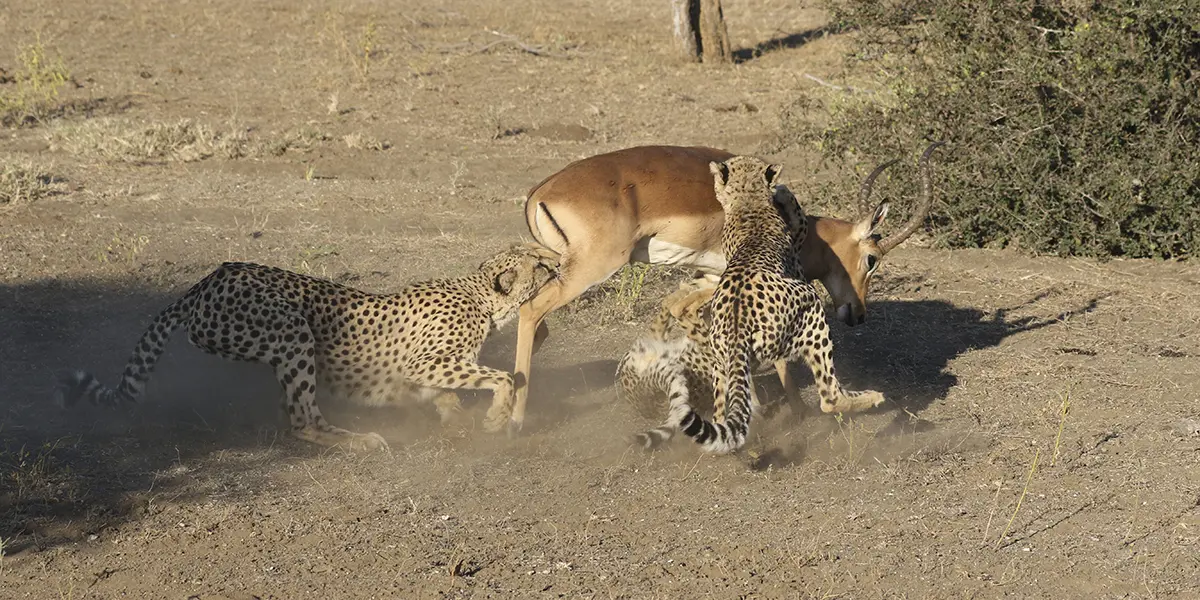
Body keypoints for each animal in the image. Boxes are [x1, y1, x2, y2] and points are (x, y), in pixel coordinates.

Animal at [54, 242, 559, 451]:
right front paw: (494, 417)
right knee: (301, 418)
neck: (481, 296)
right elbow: (504, 376)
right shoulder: (424, 362)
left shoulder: (427, 372)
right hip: (291, 329)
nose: (557, 264)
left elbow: (449, 393)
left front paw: (455, 415)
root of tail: (207, 279)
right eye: (538, 265)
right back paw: (358, 439)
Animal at [633, 157, 888, 451]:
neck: (748, 203)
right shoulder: (798, 244)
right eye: (871, 260)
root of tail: (737, 331)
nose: (859, 315)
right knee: (830, 397)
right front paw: (783, 191)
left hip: (723, 361)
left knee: (720, 415)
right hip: (812, 308)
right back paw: (871, 397)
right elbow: (798, 215)